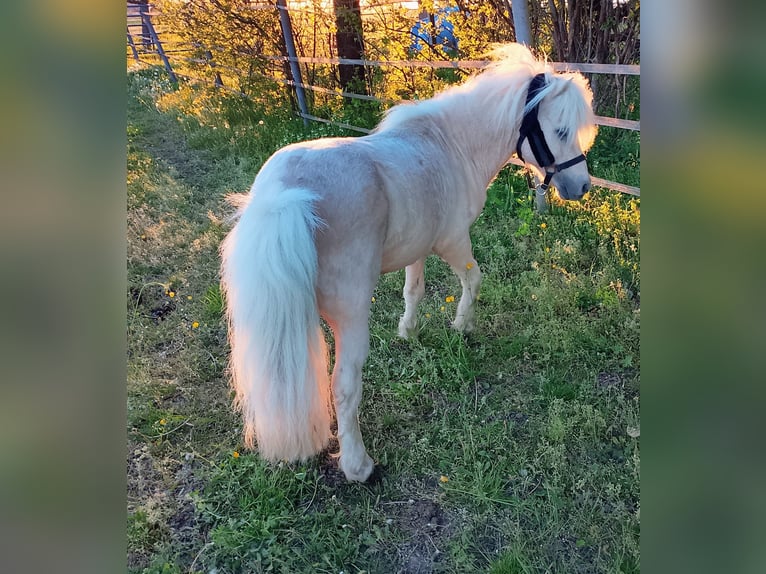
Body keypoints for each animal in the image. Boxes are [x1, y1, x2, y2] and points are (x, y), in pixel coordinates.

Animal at [220, 44, 597, 482]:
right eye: (560, 131)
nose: (581, 186)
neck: (450, 146)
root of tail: (285, 194)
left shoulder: (417, 248)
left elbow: (413, 290)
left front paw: (409, 331)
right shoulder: (453, 241)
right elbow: (474, 282)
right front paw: (462, 327)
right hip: (350, 315)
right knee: (344, 384)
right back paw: (359, 466)